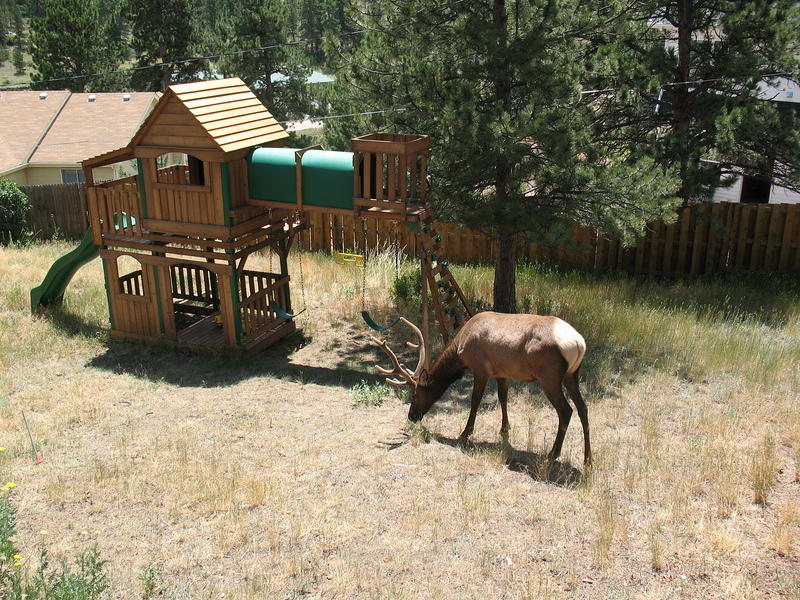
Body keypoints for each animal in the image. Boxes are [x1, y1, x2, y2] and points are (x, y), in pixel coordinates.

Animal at [372, 312, 592, 466]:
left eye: (414, 395)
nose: (411, 416)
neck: (460, 351)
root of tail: (579, 343)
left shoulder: (480, 369)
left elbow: (475, 400)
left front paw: (465, 433)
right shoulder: (502, 371)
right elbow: (503, 397)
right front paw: (505, 428)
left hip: (550, 376)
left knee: (566, 410)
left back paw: (554, 453)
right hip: (572, 374)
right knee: (583, 408)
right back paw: (587, 459)